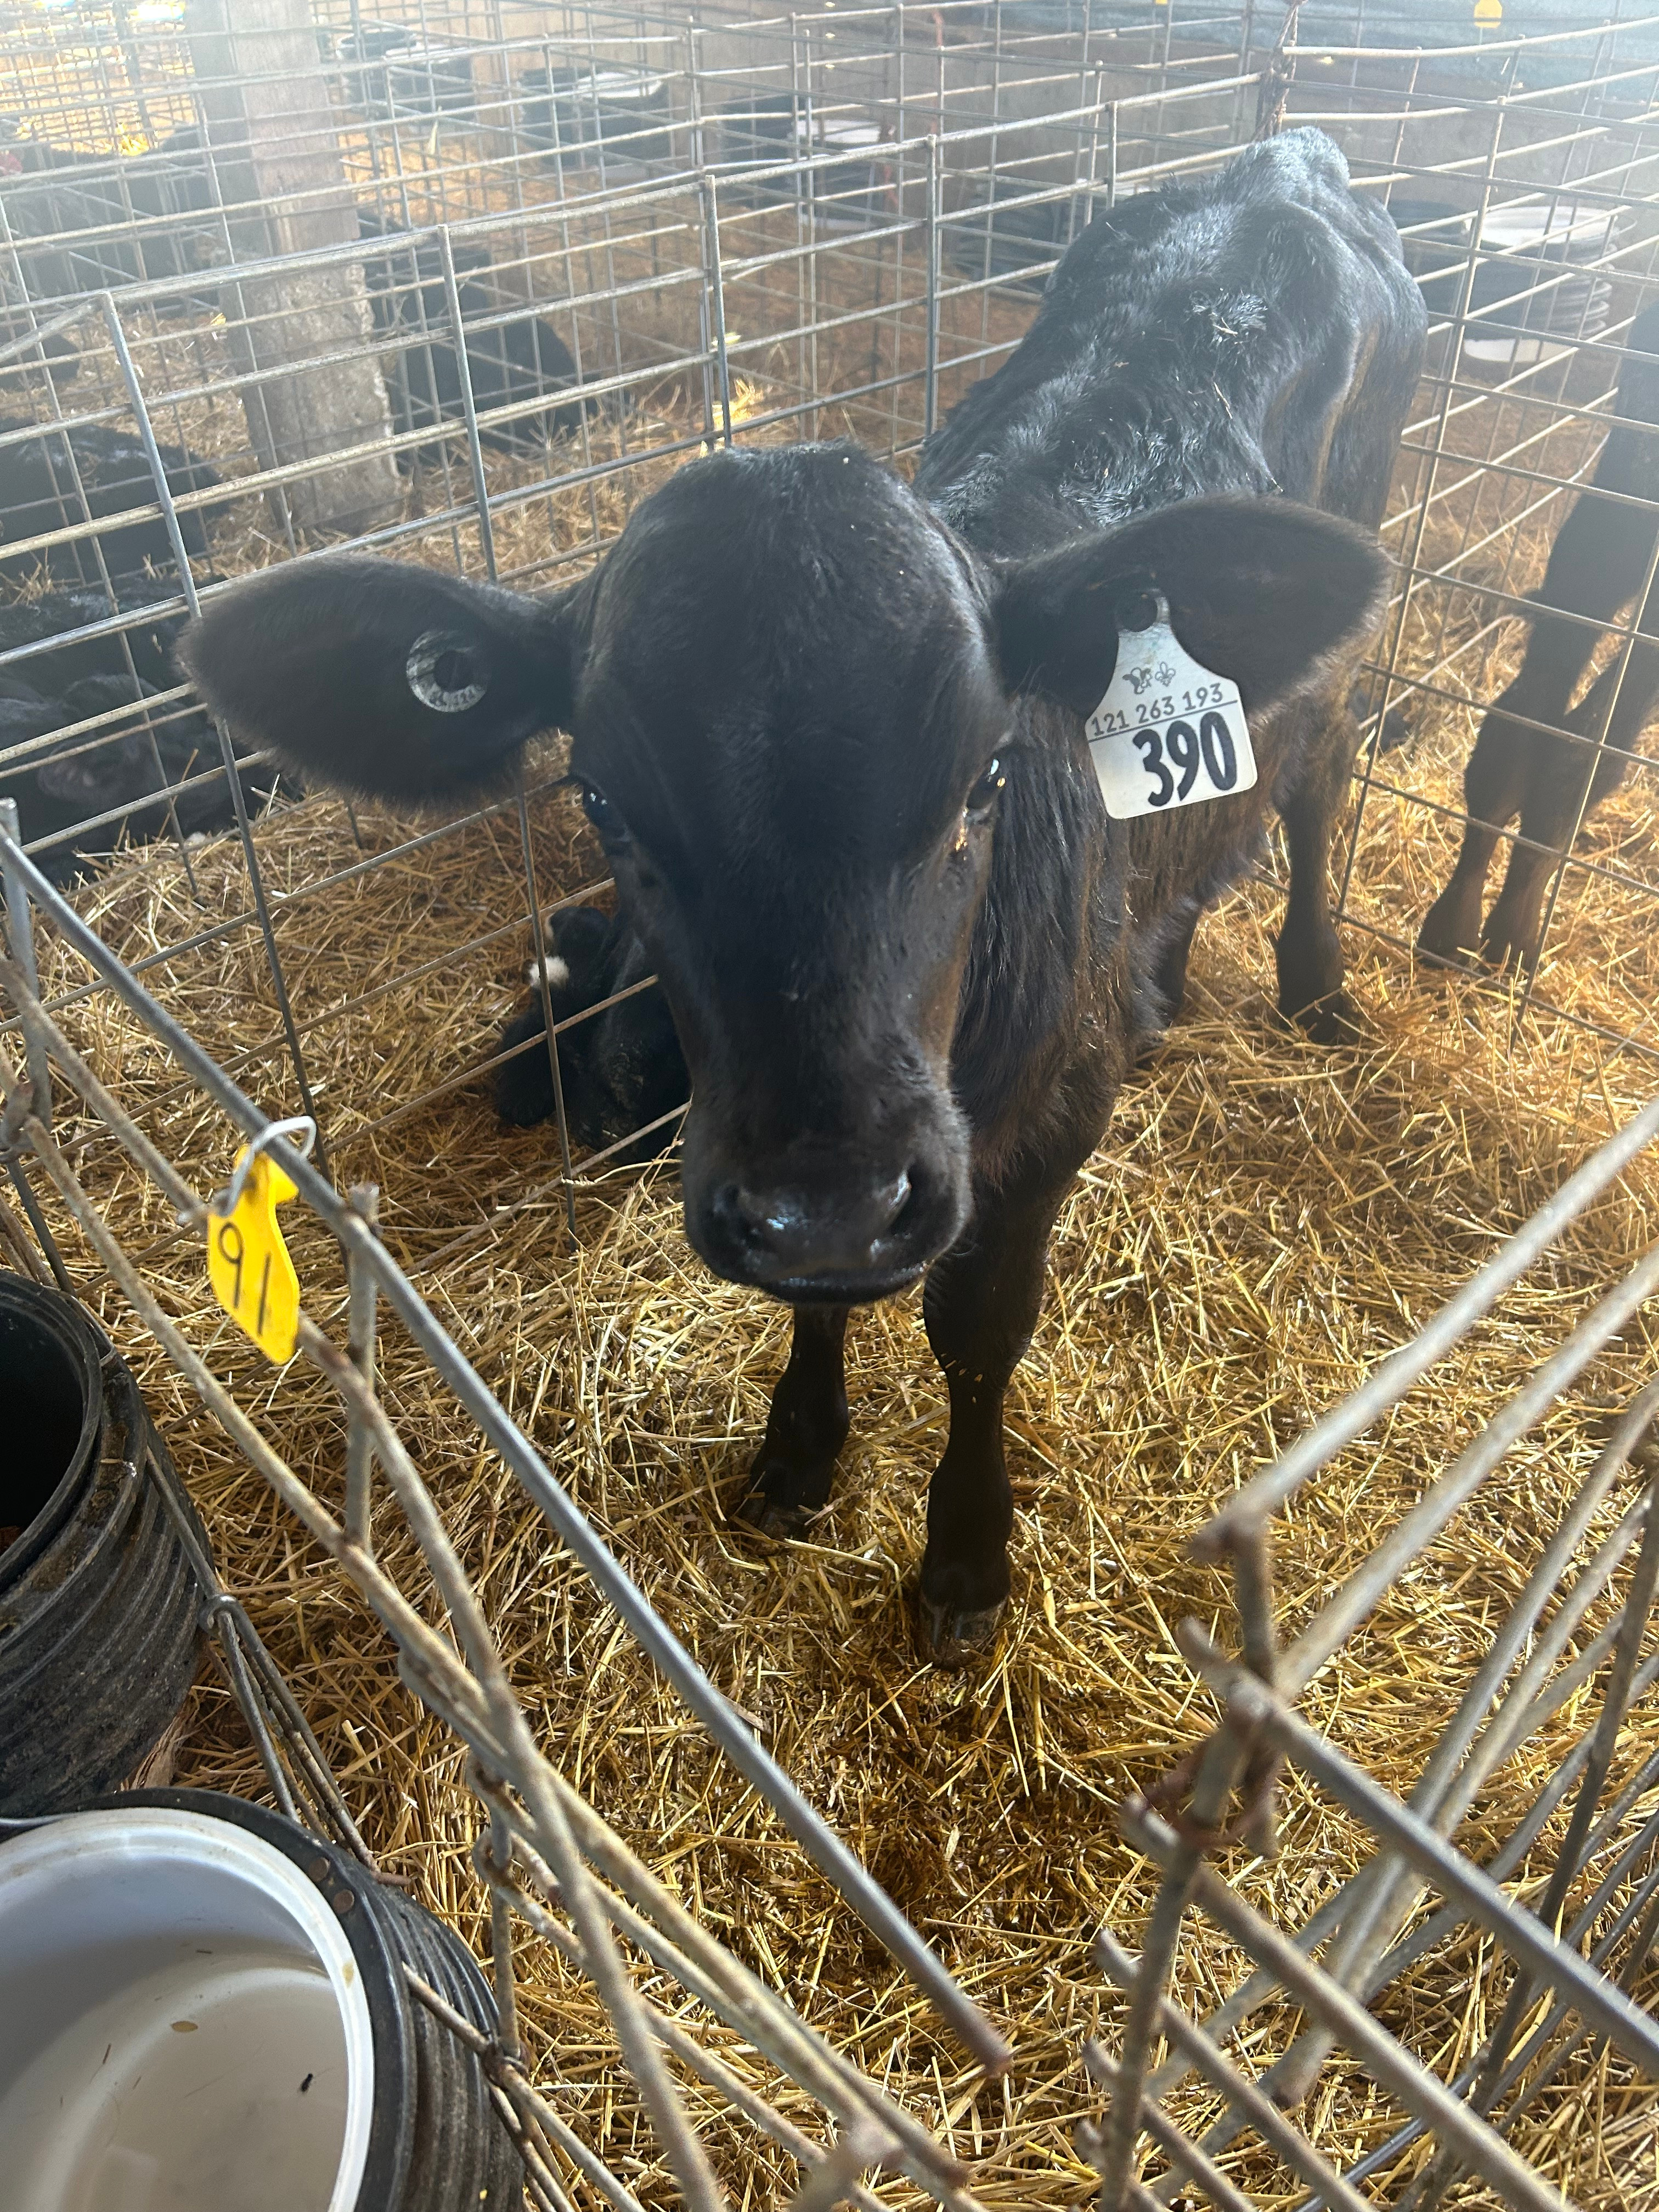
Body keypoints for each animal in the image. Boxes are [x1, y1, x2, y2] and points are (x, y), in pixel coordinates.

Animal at [181, 129, 1426, 1660]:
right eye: (604, 802)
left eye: (987, 777)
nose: (830, 1198)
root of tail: (1282, 156)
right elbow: (821, 1308)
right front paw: (802, 1444)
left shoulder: (1044, 1126)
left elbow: (978, 1331)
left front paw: (966, 1558)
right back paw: (1172, 977)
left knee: (1317, 772)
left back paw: (1318, 987)